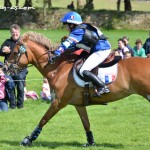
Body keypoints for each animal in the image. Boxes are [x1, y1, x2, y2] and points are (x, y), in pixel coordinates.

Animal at [4, 31, 150, 146]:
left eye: (15, 52)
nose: (5, 68)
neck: (57, 67)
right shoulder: (79, 105)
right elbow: (86, 123)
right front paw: (90, 142)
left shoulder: (58, 102)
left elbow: (43, 119)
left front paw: (28, 140)